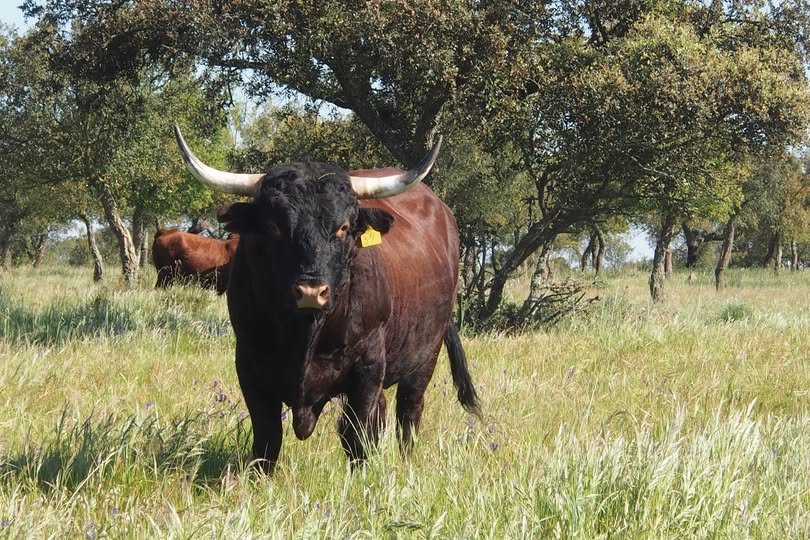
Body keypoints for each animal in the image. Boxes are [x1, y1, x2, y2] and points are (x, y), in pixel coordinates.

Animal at [174, 126, 480, 470]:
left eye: (344, 227)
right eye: (274, 227)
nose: (311, 292)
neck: (305, 333)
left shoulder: (368, 367)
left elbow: (357, 437)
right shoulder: (250, 365)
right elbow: (267, 440)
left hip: (424, 357)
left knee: (408, 414)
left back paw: (405, 464)